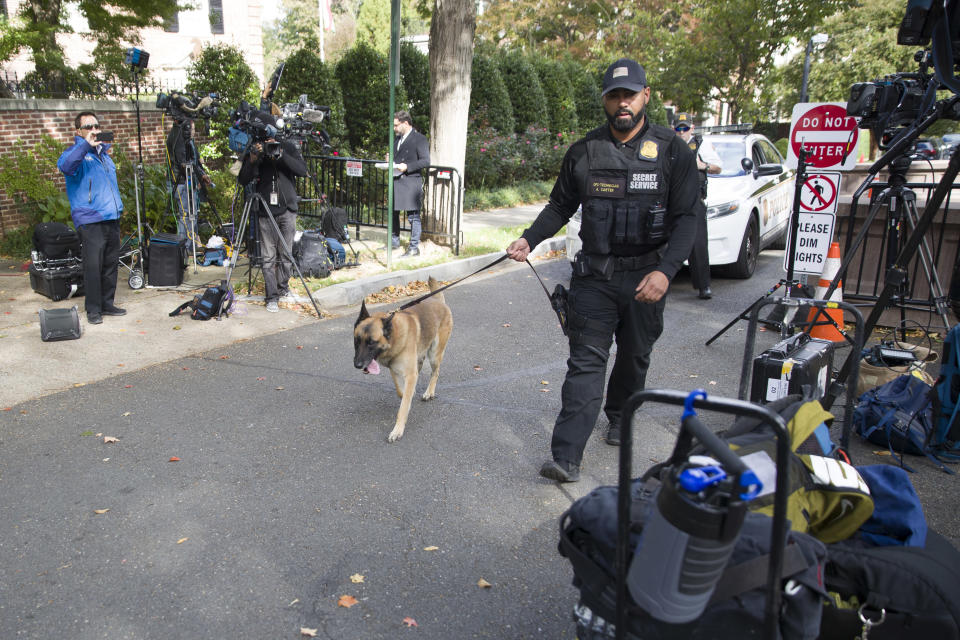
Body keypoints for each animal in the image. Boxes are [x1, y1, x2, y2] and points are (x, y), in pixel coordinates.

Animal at [354, 278, 456, 442]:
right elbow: (401, 393)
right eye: (356, 341)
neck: (393, 335)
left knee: (435, 373)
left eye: (371, 343)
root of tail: (437, 300)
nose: (357, 365)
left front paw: (398, 429)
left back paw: (429, 392)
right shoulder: (396, 371)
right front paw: (408, 395)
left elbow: (403, 406)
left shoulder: (409, 374)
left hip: (434, 355)